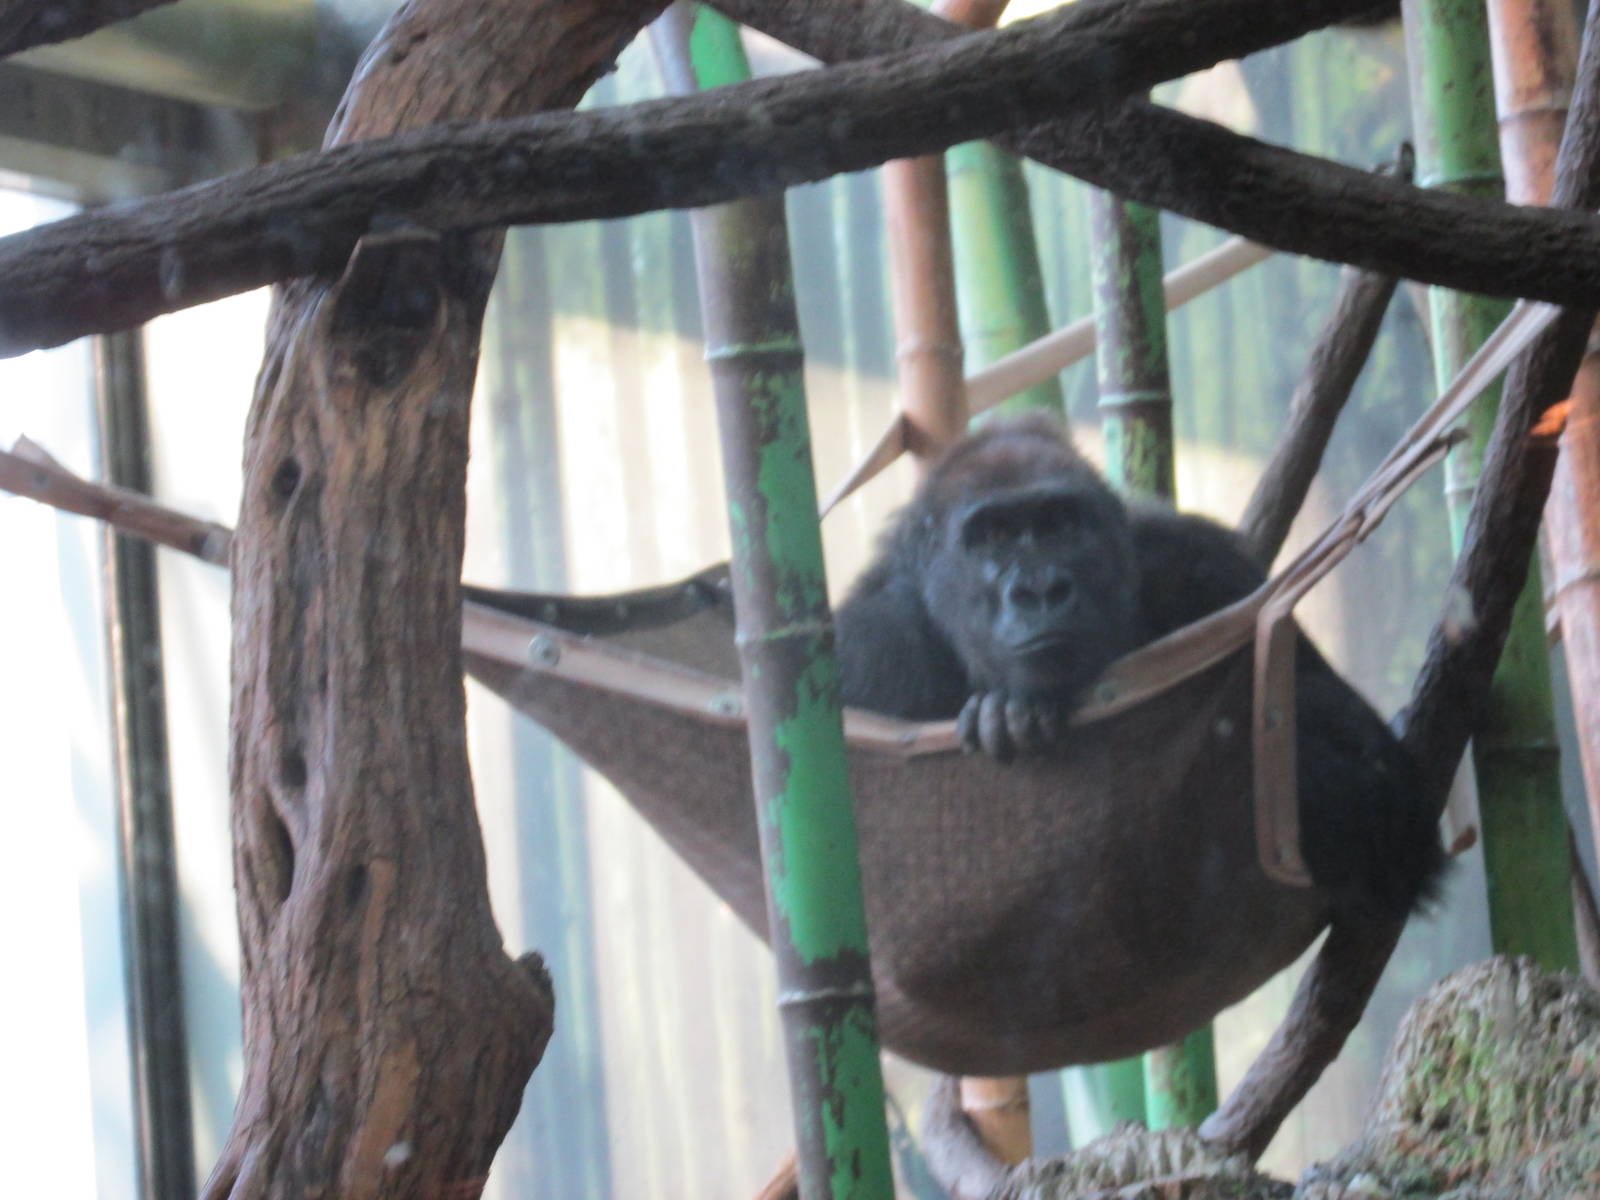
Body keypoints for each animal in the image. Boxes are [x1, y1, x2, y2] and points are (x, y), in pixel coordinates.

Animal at [833, 414, 1447, 921]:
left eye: (1061, 525)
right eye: (995, 536)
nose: (1041, 590)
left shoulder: (1202, 566)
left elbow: (1386, 792)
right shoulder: (869, 650)